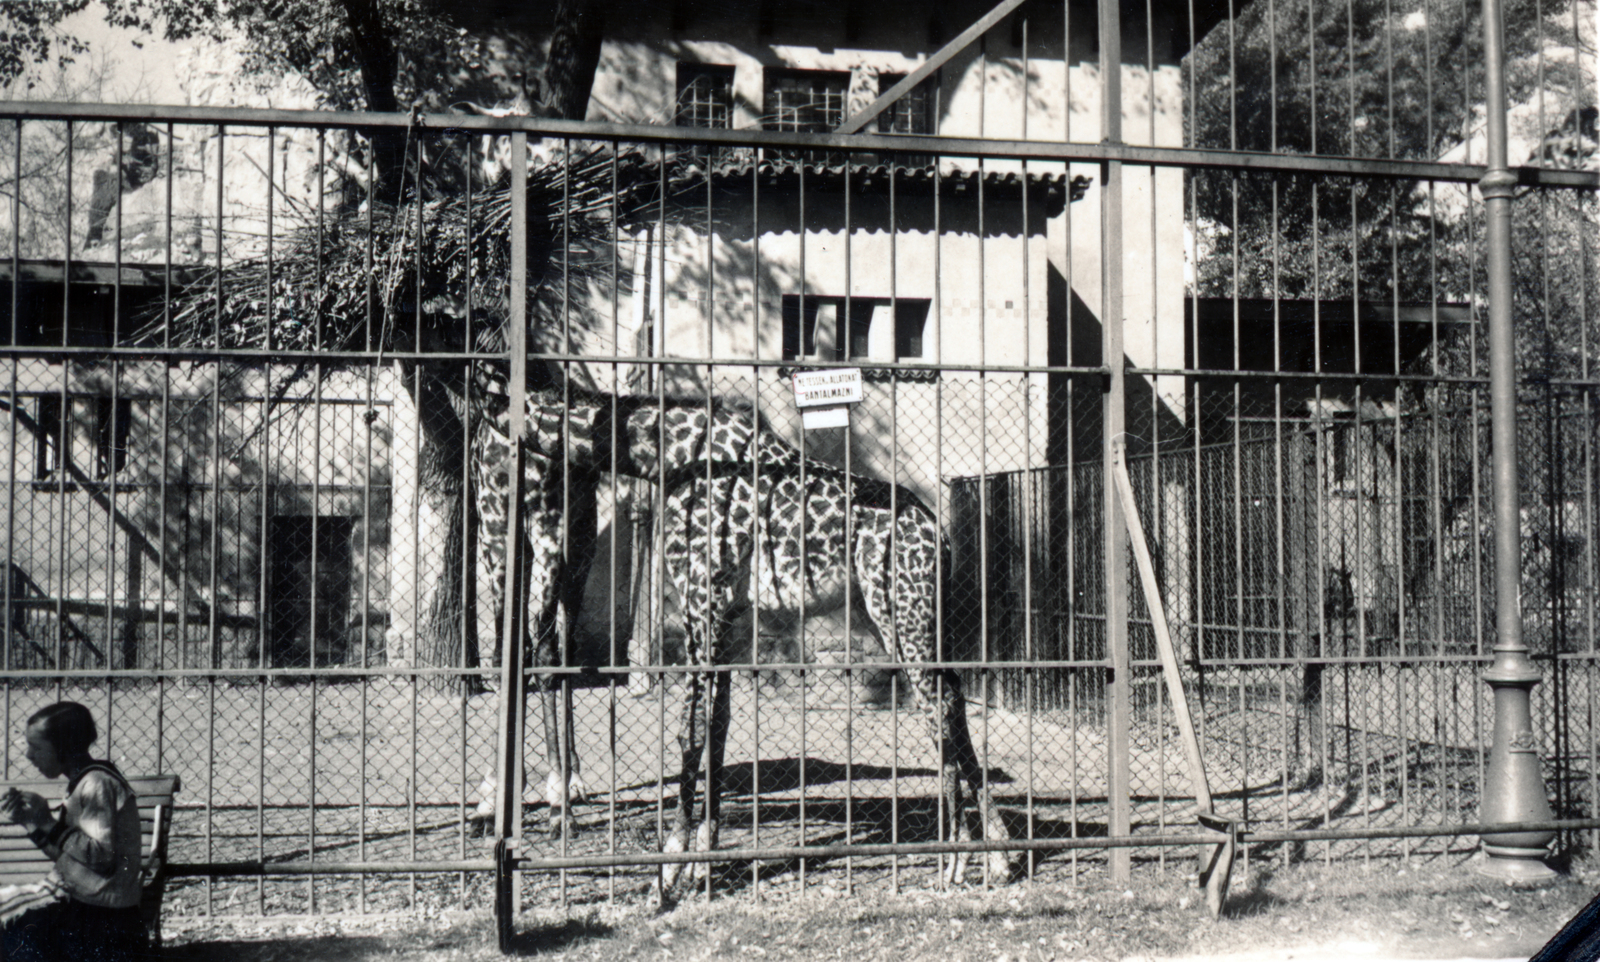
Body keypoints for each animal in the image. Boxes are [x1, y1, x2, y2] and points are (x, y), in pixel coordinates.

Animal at [473, 382, 1017, 902]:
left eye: (497, 455)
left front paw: (668, 869)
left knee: (940, 706)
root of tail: (939, 536)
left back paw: (964, 858)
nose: (500, 509)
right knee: (949, 706)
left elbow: (690, 732)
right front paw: (701, 865)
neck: (667, 455)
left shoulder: (700, 604)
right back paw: (984, 854)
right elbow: (717, 730)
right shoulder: (730, 624)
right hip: (914, 618)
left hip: (901, 613)